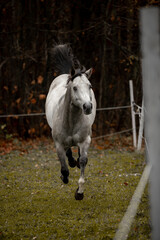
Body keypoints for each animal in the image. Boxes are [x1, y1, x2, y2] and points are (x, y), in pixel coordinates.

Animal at [45, 44, 97, 200]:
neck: (72, 121)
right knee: (68, 153)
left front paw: (79, 192)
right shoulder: (58, 144)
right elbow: (64, 167)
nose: (87, 107)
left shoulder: (85, 141)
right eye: (74, 87)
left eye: (89, 86)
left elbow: (83, 161)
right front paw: (64, 177)